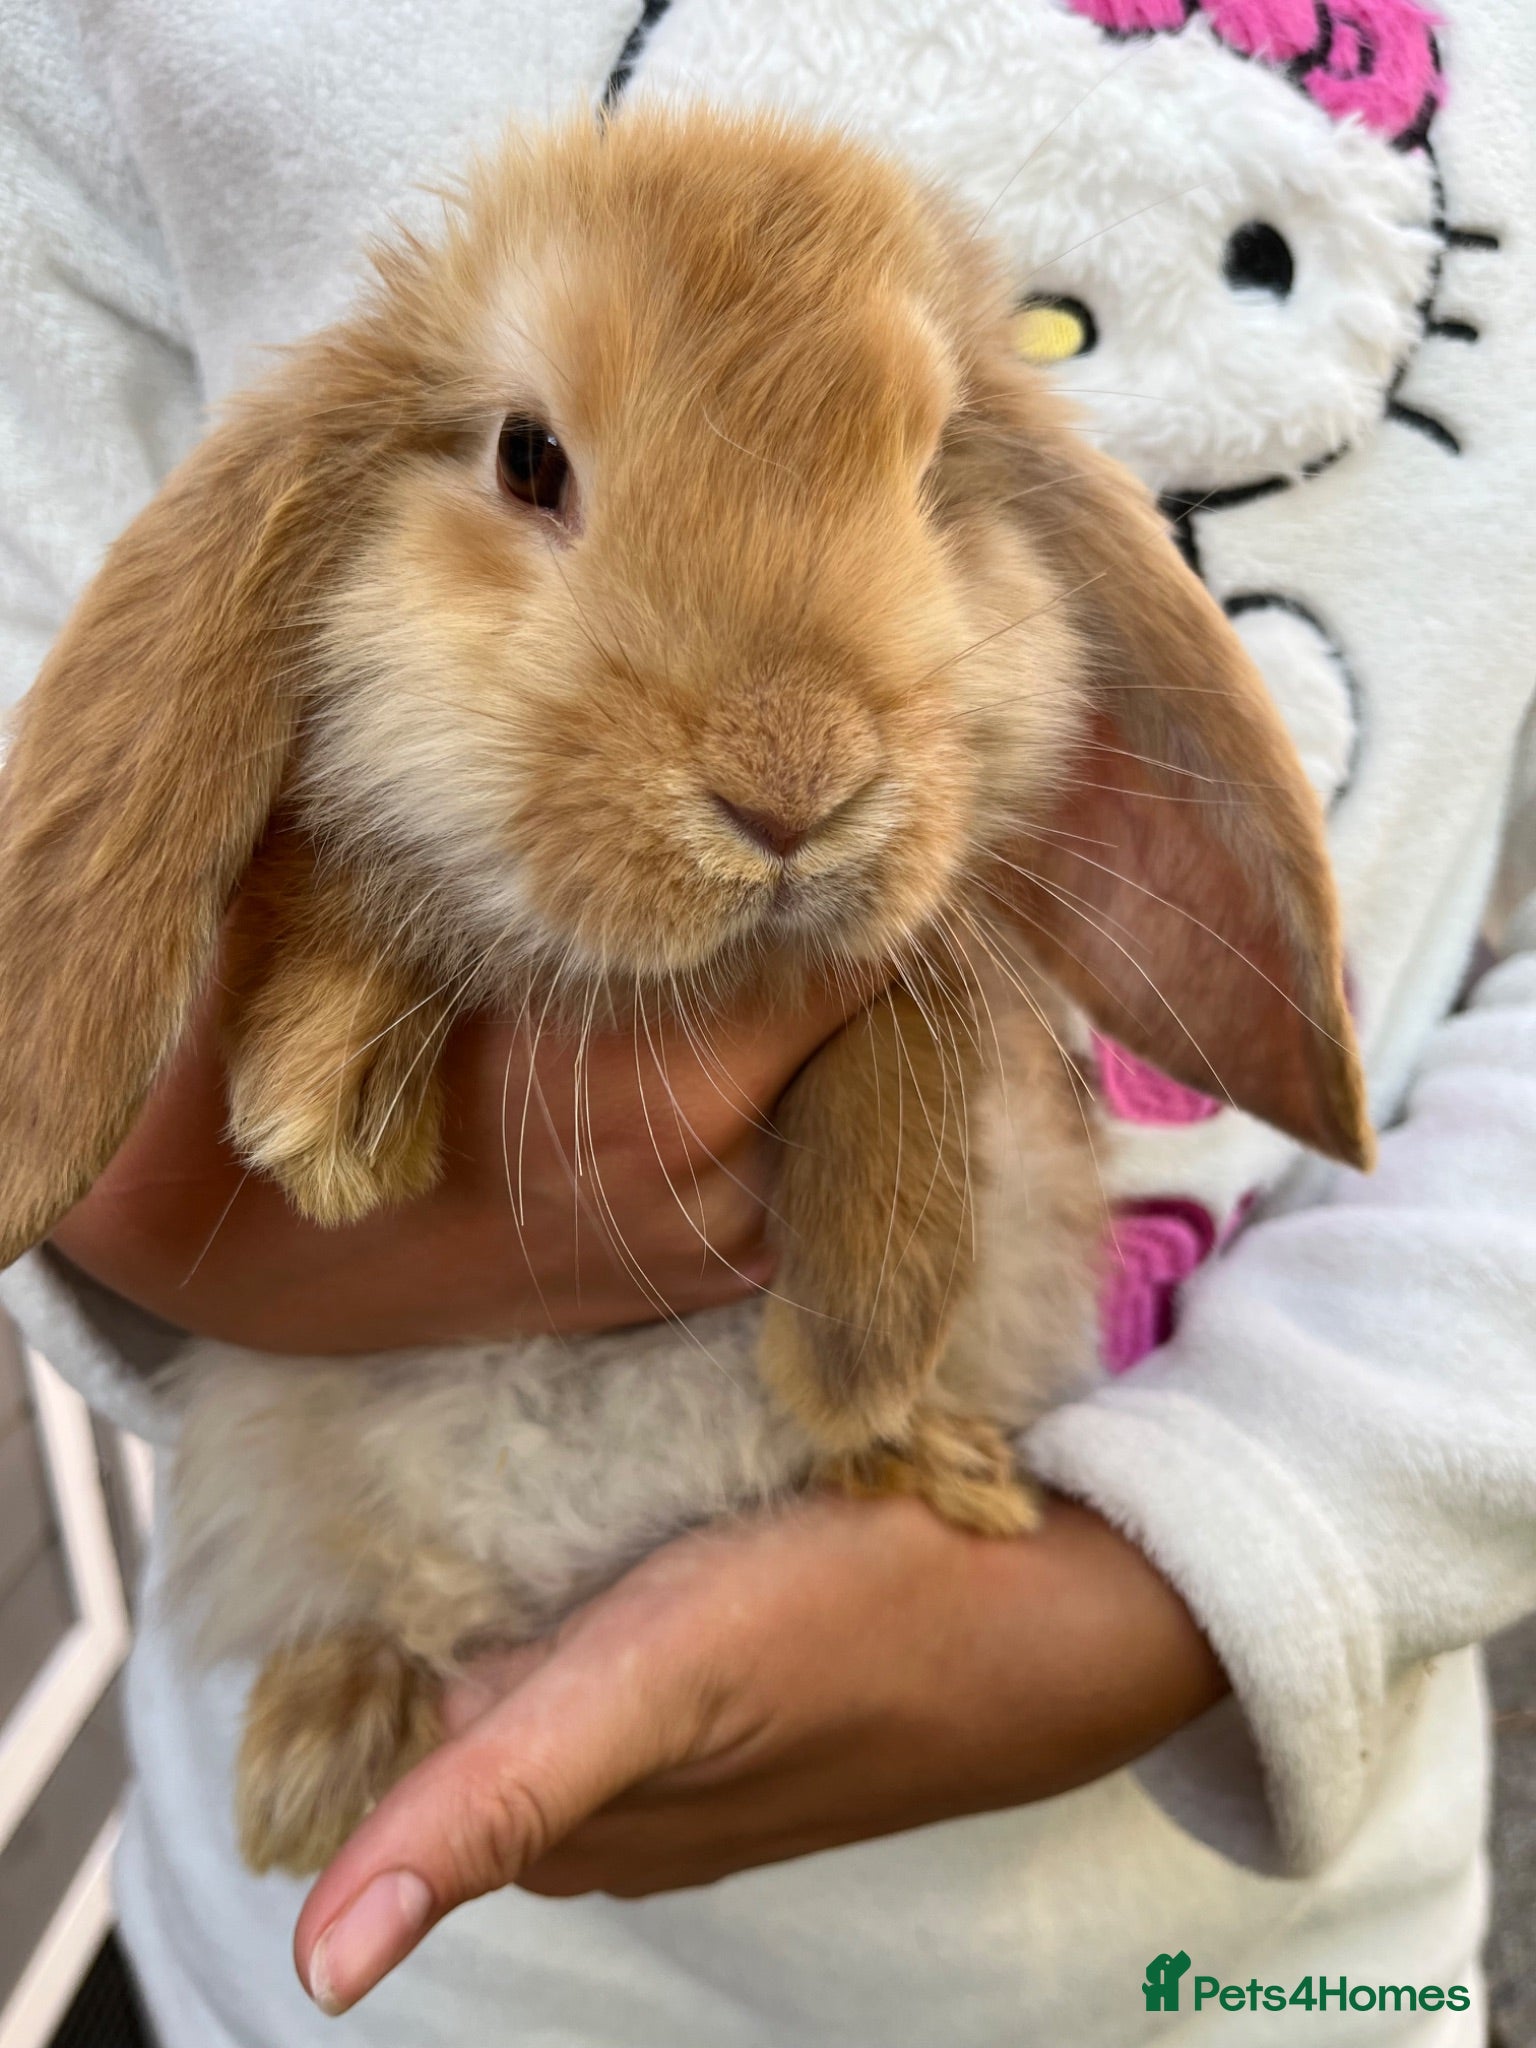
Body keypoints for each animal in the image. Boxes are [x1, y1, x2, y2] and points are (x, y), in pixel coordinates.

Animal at [0, 105, 1371, 1876]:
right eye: (528, 459)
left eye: (934, 470)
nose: (794, 788)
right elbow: (360, 868)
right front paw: (325, 1108)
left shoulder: (938, 967)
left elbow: (904, 1035)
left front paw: (864, 1344)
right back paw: (313, 1755)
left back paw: (924, 1456)